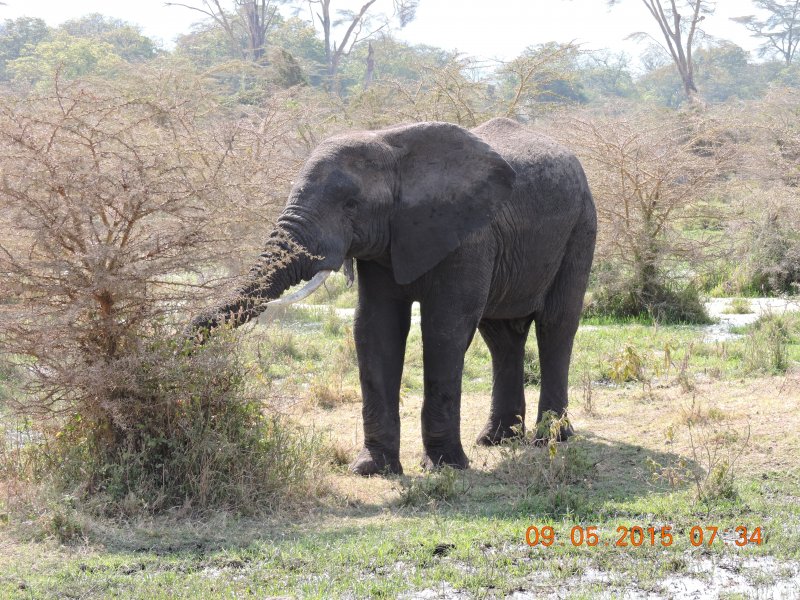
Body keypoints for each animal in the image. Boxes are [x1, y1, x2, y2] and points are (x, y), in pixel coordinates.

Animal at [191, 117, 597, 476]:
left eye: (351, 204)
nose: (188, 336)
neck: (389, 145)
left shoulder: (470, 238)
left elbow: (444, 328)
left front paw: (445, 467)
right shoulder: (382, 246)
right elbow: (376, 328)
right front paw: (373, 469)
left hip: (581, 225)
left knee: (556, 326)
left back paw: (551, 440)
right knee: (501, 337)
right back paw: (495, 440)